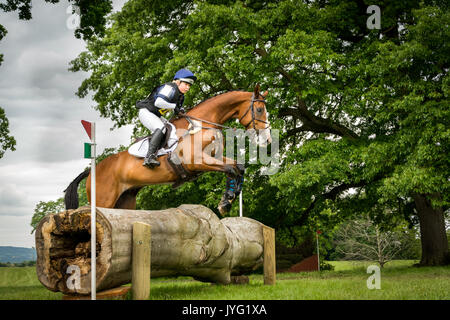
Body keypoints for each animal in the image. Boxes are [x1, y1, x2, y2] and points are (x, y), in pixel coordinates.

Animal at [63, 84, 270, 215]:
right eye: (260, 110)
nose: (267, 139)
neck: (203, 123)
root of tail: (92, 170)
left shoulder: (212, 158)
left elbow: (238, 167)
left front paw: (227, 201)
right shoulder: (196, 161)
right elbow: (230, 169)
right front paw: (227, 200)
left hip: (125, 201)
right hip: (103, 200)